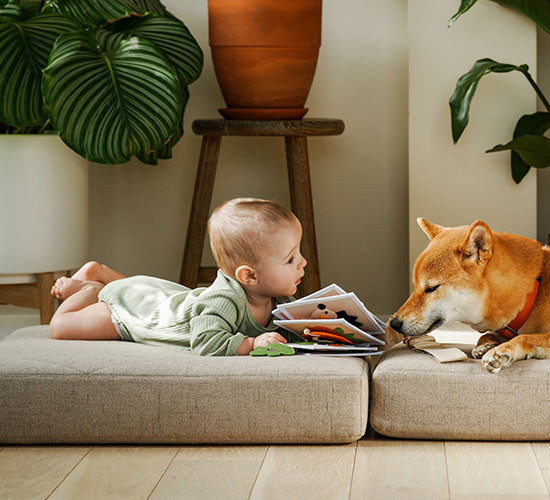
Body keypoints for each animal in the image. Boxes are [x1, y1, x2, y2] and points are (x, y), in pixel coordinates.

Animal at [388, 217, 550, 374]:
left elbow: (524, 337)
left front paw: (499, 351)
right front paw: (485, 346)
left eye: (431, 288)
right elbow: (485, 335)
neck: (531, 292)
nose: (394, 324)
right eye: (415, 285)